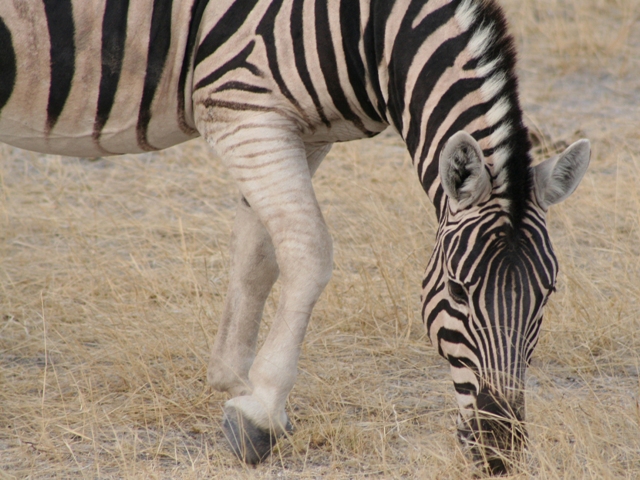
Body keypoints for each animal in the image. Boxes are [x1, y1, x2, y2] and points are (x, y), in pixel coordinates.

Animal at [0, 0, 592, 472]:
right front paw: (261, 412)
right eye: (458, 293)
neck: (365, 31)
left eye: (548, 295)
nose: (500, 452)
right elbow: (308, 252)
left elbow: (258, 255)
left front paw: (234, 382)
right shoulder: (245, 112)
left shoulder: (298, 131)